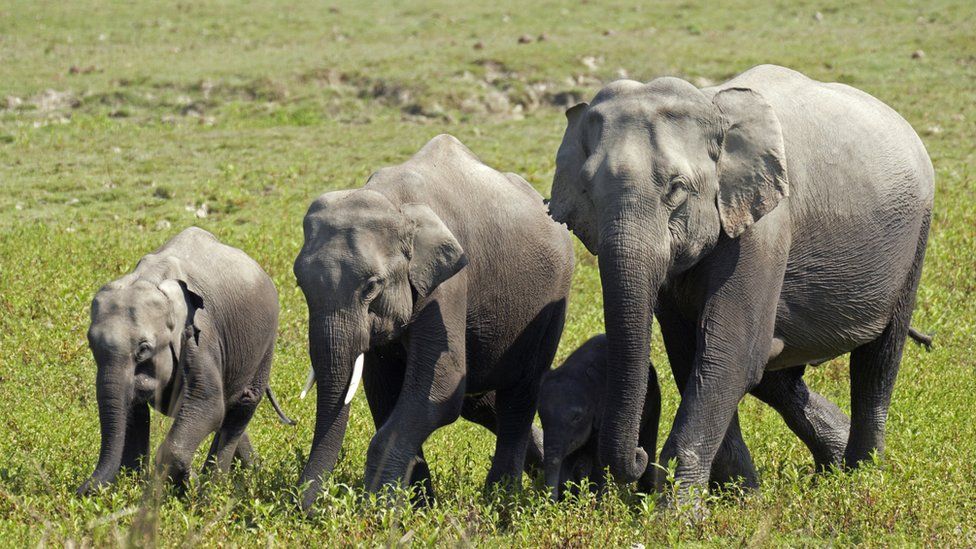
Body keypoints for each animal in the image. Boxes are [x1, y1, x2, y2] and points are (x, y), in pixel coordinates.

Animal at [76, 225, 292, 494]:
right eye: (91, 345)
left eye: (144, 349)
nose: (82, 492)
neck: (153, 279)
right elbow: (134, 411)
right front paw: (135, 484)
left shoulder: (202, 335)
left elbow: (208, 403)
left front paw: (190, 485)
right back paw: (248, 473)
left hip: (266, 343)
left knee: (242, 404)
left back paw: (214, 488)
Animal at [294, 133, 576, 510]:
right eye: (300, 284)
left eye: (372, 286)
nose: (304, 510)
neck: (394, 201)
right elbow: (383, 391)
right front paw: (418, 506)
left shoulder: (449, 283)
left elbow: (437, 388)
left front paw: (381, 510)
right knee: (482, 403)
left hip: (552, 301)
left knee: (519, 395)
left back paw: (502, 500)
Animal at [544, 63, 936, 496]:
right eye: (587, 191)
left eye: (677, 189)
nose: (640, 457)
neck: (710, 104)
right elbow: (692, 353)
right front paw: (742, 494)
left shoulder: (764, 227)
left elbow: (727, 356)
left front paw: (682, 509)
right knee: (775, 368)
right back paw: (832, 462)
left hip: (916, 234)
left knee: (877, 361)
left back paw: (860, 474)